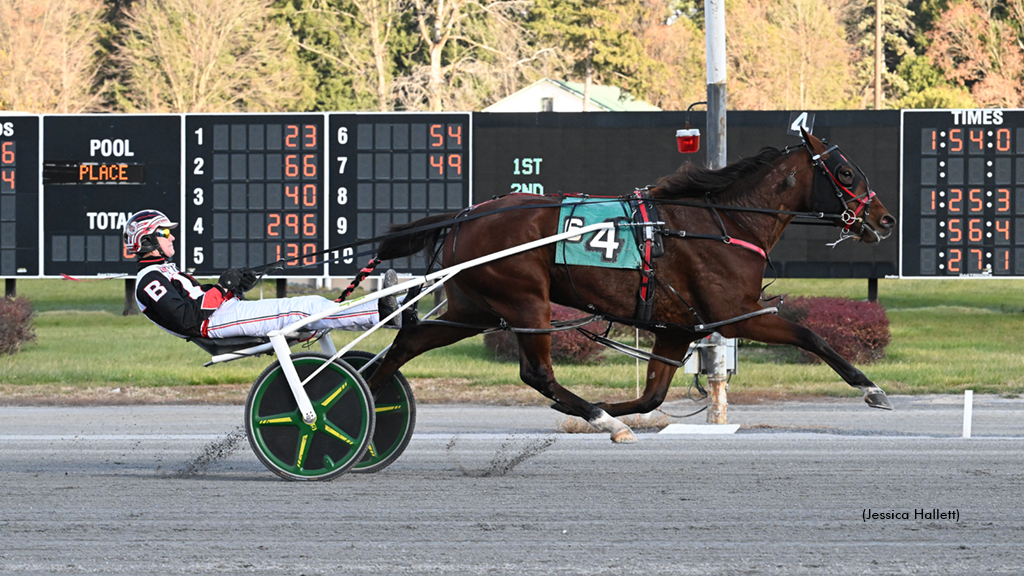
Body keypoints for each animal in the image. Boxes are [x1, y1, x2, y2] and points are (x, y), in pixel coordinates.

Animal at [370, 130, 897, 440]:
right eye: (845, 173)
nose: (884, 219)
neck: (725, 222)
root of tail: (464, 216)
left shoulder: (676, 327)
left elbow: (653, 396)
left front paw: (608, 407)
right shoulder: (736, 312)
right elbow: (810, 336)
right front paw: (871, 389)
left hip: (471, 308)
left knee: (406, 343)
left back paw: (367, 403)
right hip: (524, 300)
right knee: (537, 374)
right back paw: (601, 420)